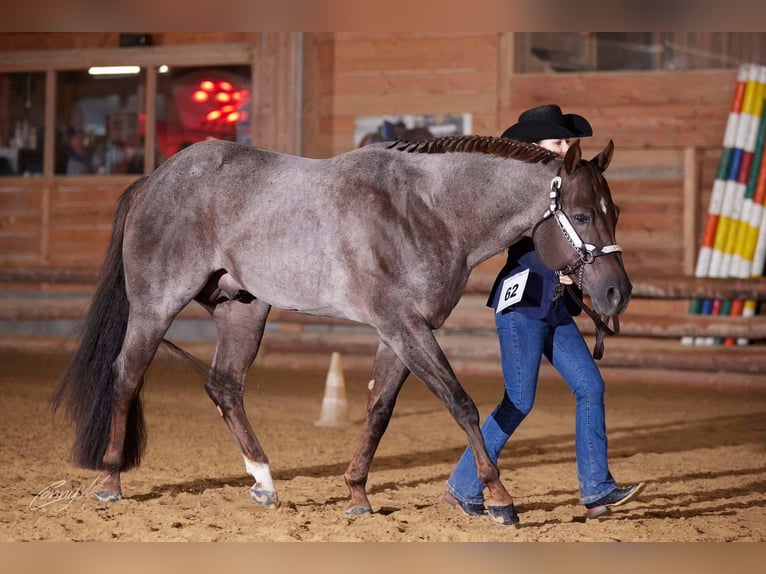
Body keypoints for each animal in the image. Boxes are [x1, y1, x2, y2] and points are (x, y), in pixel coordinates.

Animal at [52, 134, 630, 525]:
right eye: (581, 213)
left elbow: (379, 409)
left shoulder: (400, 332)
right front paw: (500, 499)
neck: (427, 210)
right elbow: (461, 403)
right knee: (127, 375)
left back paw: (264, 482)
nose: (615, 294)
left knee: (224, 386)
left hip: (242, 308)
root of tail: (155, 179)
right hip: (156, 305)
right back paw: (110, 481)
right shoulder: (405, 326)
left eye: (615, 211)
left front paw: (356, 496)